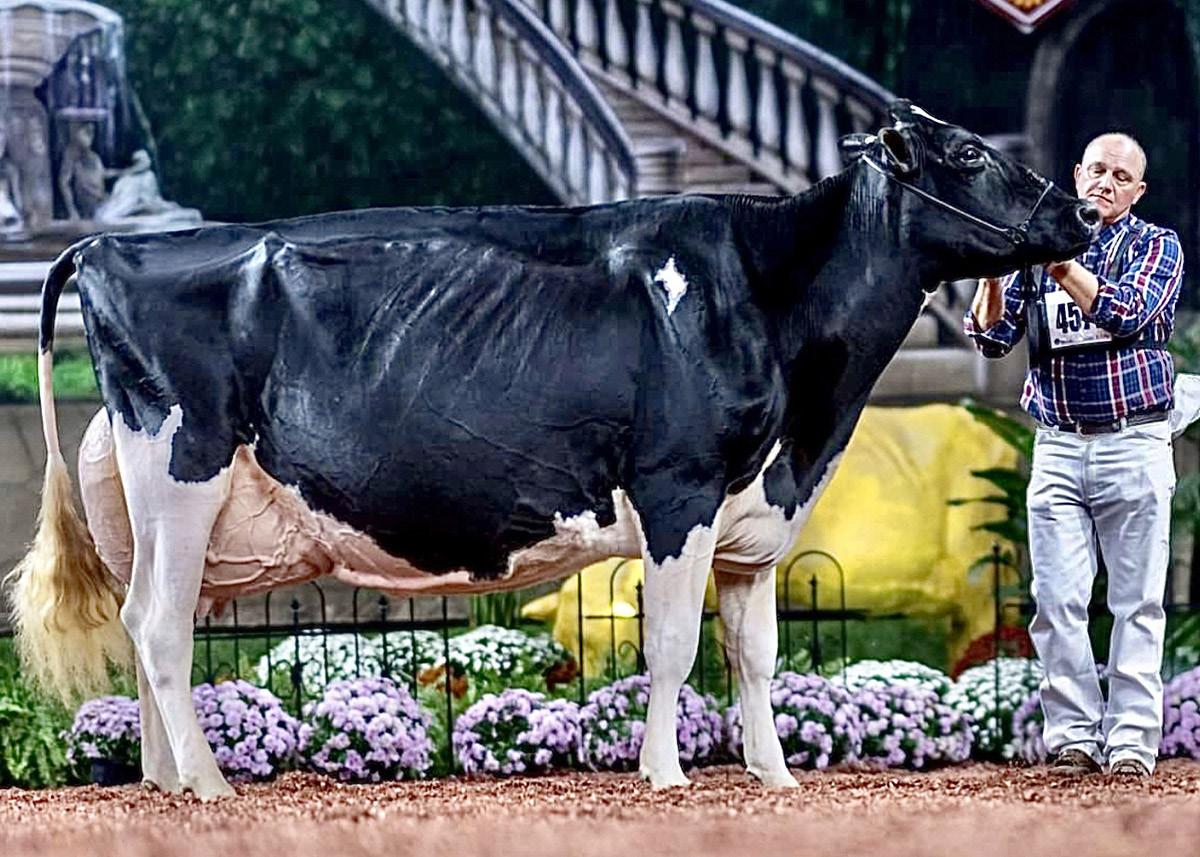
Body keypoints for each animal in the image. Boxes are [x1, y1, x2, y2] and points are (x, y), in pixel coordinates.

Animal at [6, 101, 1098, 799]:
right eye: (967, 153)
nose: (1084, 210)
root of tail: (107, 246)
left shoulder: (752, 523)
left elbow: (755, 654)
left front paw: (775, 773)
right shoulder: (678, 489)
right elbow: (674, 646)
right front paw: (664, 772)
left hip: (145, 509)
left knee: (146, 629)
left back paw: (162, 780)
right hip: (179, 470)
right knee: (159, 629)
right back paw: (208, 785)